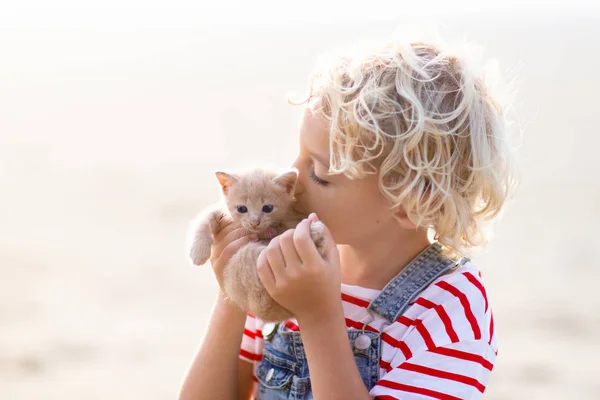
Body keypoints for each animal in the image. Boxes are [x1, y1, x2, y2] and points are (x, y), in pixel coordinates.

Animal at [188, 168, 328, 322]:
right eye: (242, 209)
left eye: (267, 208)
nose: (254, 222)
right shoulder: (221, 210)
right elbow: (206, 216)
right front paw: (198, 252)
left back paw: (314, 231)